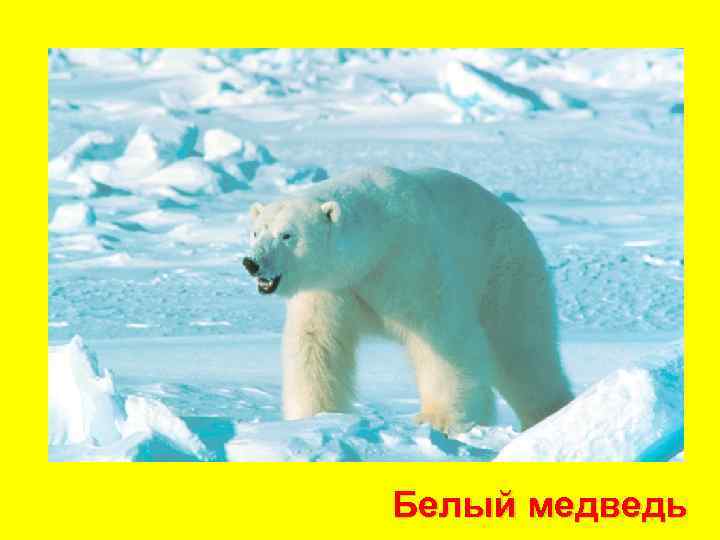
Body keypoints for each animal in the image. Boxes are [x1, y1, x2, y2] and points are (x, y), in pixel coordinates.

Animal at [243, 166, 573, 433]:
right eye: (256, 233)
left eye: (287, 235)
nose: (252, 263)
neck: (376, 244)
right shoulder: (332, 287)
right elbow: (316, 342)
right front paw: (313, 417)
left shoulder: (411, 261)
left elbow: (443, 336)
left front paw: (440, 419)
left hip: (504, 272)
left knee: (521, 347)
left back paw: (550, 414)